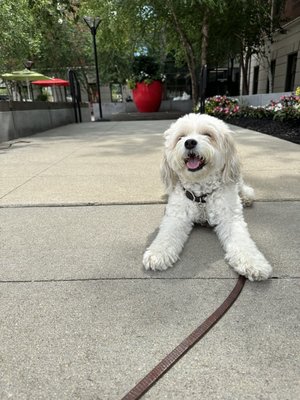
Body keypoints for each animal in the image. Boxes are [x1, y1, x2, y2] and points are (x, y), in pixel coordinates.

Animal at [142, 113, 272, 282]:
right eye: (180, 137)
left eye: (208, 135)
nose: (190, 142)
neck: (201, 195)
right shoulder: (177, 216)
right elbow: (166, 235)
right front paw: (158, 254)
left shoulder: (230, 217)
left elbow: (242, 241)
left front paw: (253, 263)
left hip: (236, 179)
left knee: (242, 186)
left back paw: (246, 196)